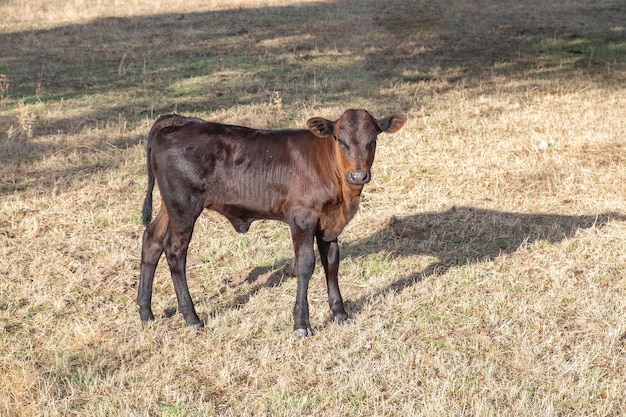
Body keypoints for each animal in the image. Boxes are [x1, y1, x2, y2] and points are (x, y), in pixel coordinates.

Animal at [139, 108, 408, 334]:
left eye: (373, 140)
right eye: (340, 140)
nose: (358, 175)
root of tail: (179, 120)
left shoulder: (329, 224)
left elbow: (332, 263)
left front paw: (340, 313)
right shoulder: (301, 218)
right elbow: (305, 265)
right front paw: (301, 324)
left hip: (169, 205)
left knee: (152, 239)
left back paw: (145, 312)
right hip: (183, 206)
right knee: (175, 251)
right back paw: (192, 318)